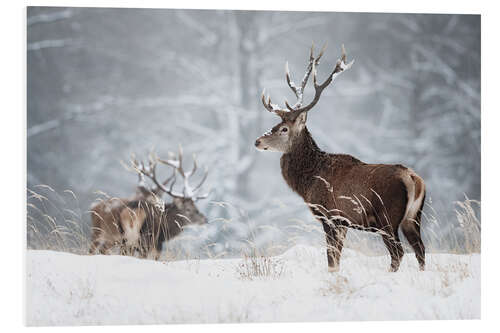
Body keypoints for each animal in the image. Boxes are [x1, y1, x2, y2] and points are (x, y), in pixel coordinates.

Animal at [254, 44, 426, 272]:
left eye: (284, 129)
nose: (257, 141)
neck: (310, 181)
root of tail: (413, 178)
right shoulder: (344, 223)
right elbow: (336, 258)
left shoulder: (331, 216)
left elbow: (331, 258)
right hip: (412, 218)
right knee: (420, 249)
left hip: (388, 217)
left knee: (398, 252)